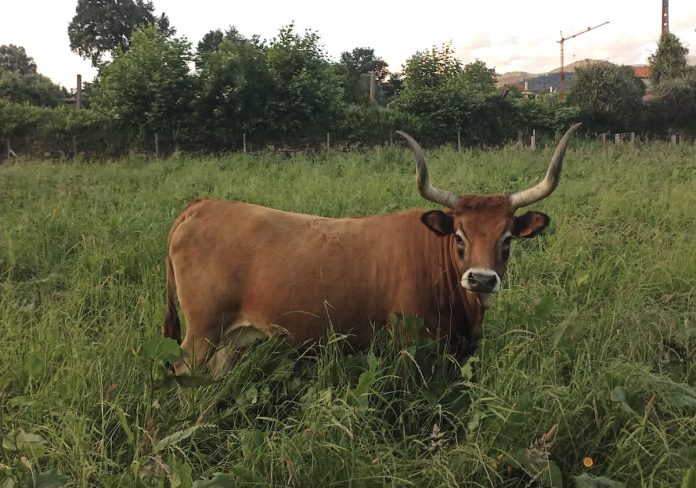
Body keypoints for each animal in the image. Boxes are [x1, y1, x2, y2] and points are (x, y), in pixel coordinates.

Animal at [163, 124, 581, 375]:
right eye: (459, 236)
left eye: (507, 238)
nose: (480, 279)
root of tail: (204, 205)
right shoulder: (408, 347)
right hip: (201, 332)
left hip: (229, 337)